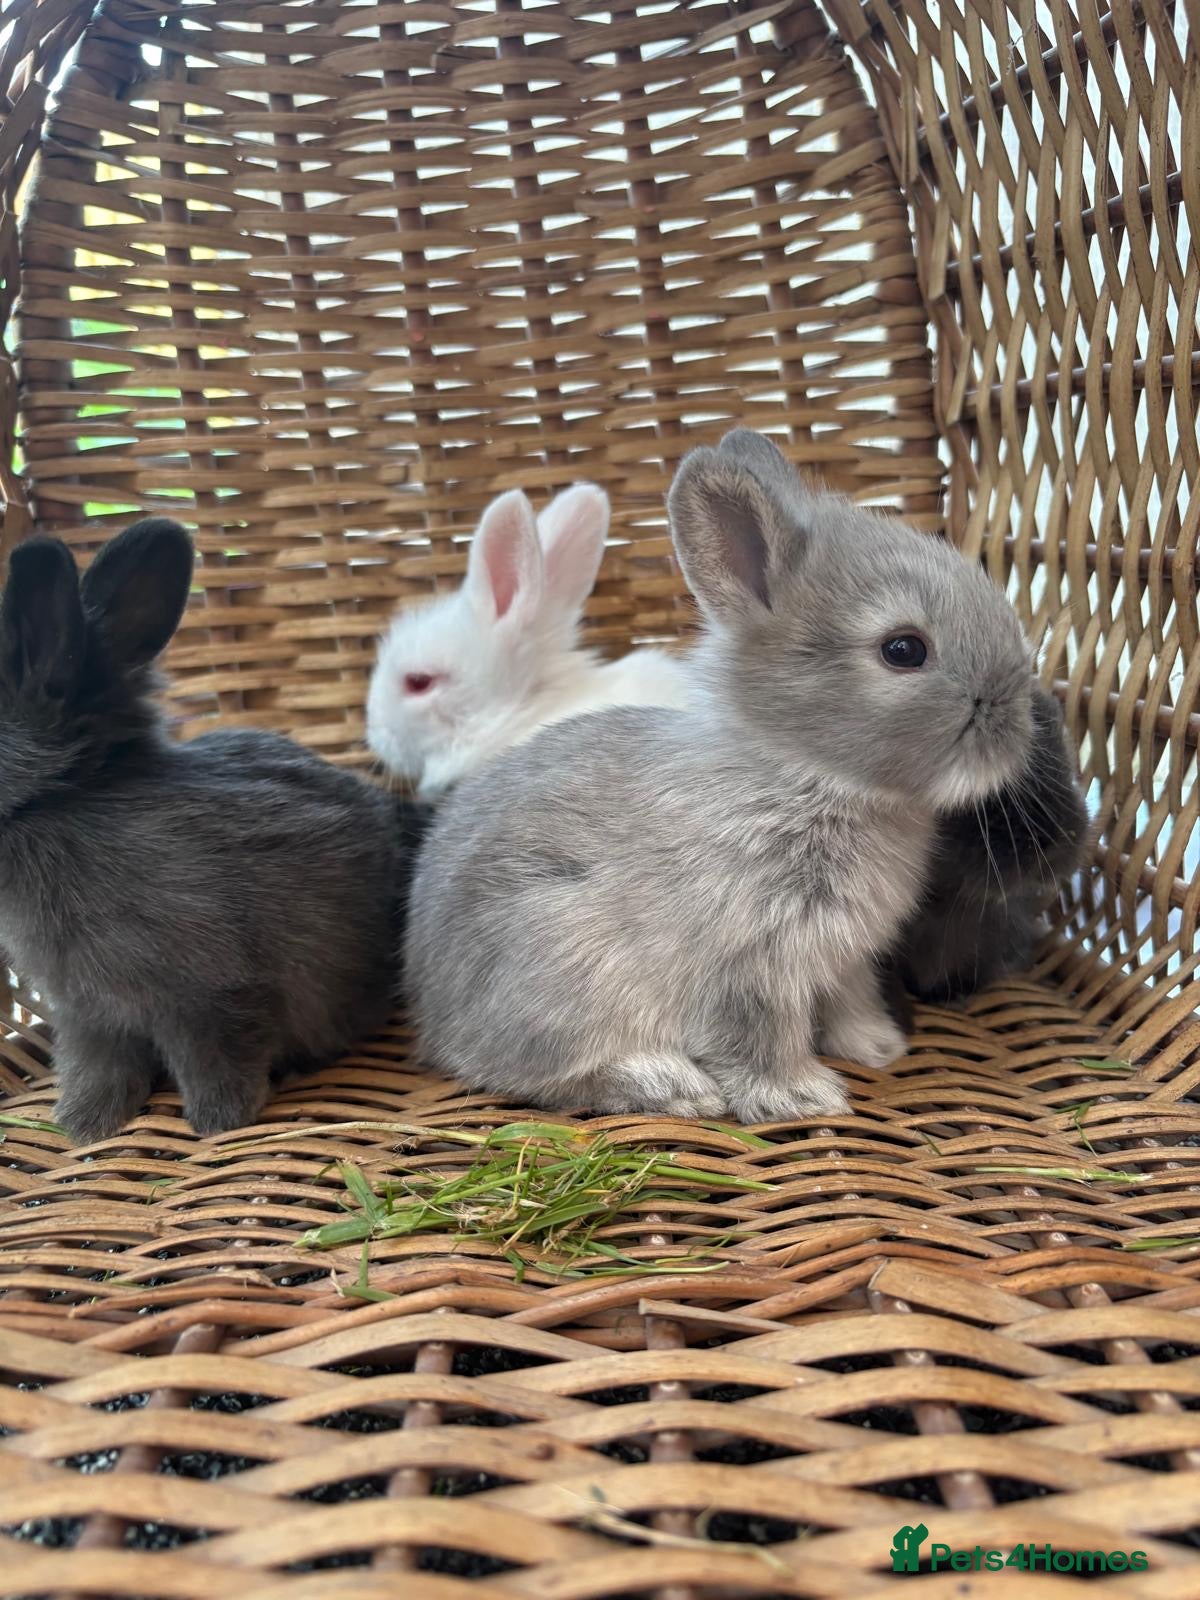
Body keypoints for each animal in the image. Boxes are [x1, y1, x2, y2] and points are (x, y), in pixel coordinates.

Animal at [0, 517, 424, 1144]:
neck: (64, 798)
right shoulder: (87, 1015)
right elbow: (96, 1070)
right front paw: (85, 1127)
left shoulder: (210, 996)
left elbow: (215, 1061)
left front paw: (217, 1123)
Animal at [404, 429, 1035, 1125]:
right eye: (904, 650)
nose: (1015, 723)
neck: (805, 776)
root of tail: (432, 1019)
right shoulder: (752, 959)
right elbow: (760, 1034)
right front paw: (803, 1097)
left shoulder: (845, 959)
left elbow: (849, 998)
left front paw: (877, 1046)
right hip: (559, 965)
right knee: (543, 1074)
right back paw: (669, 1085)